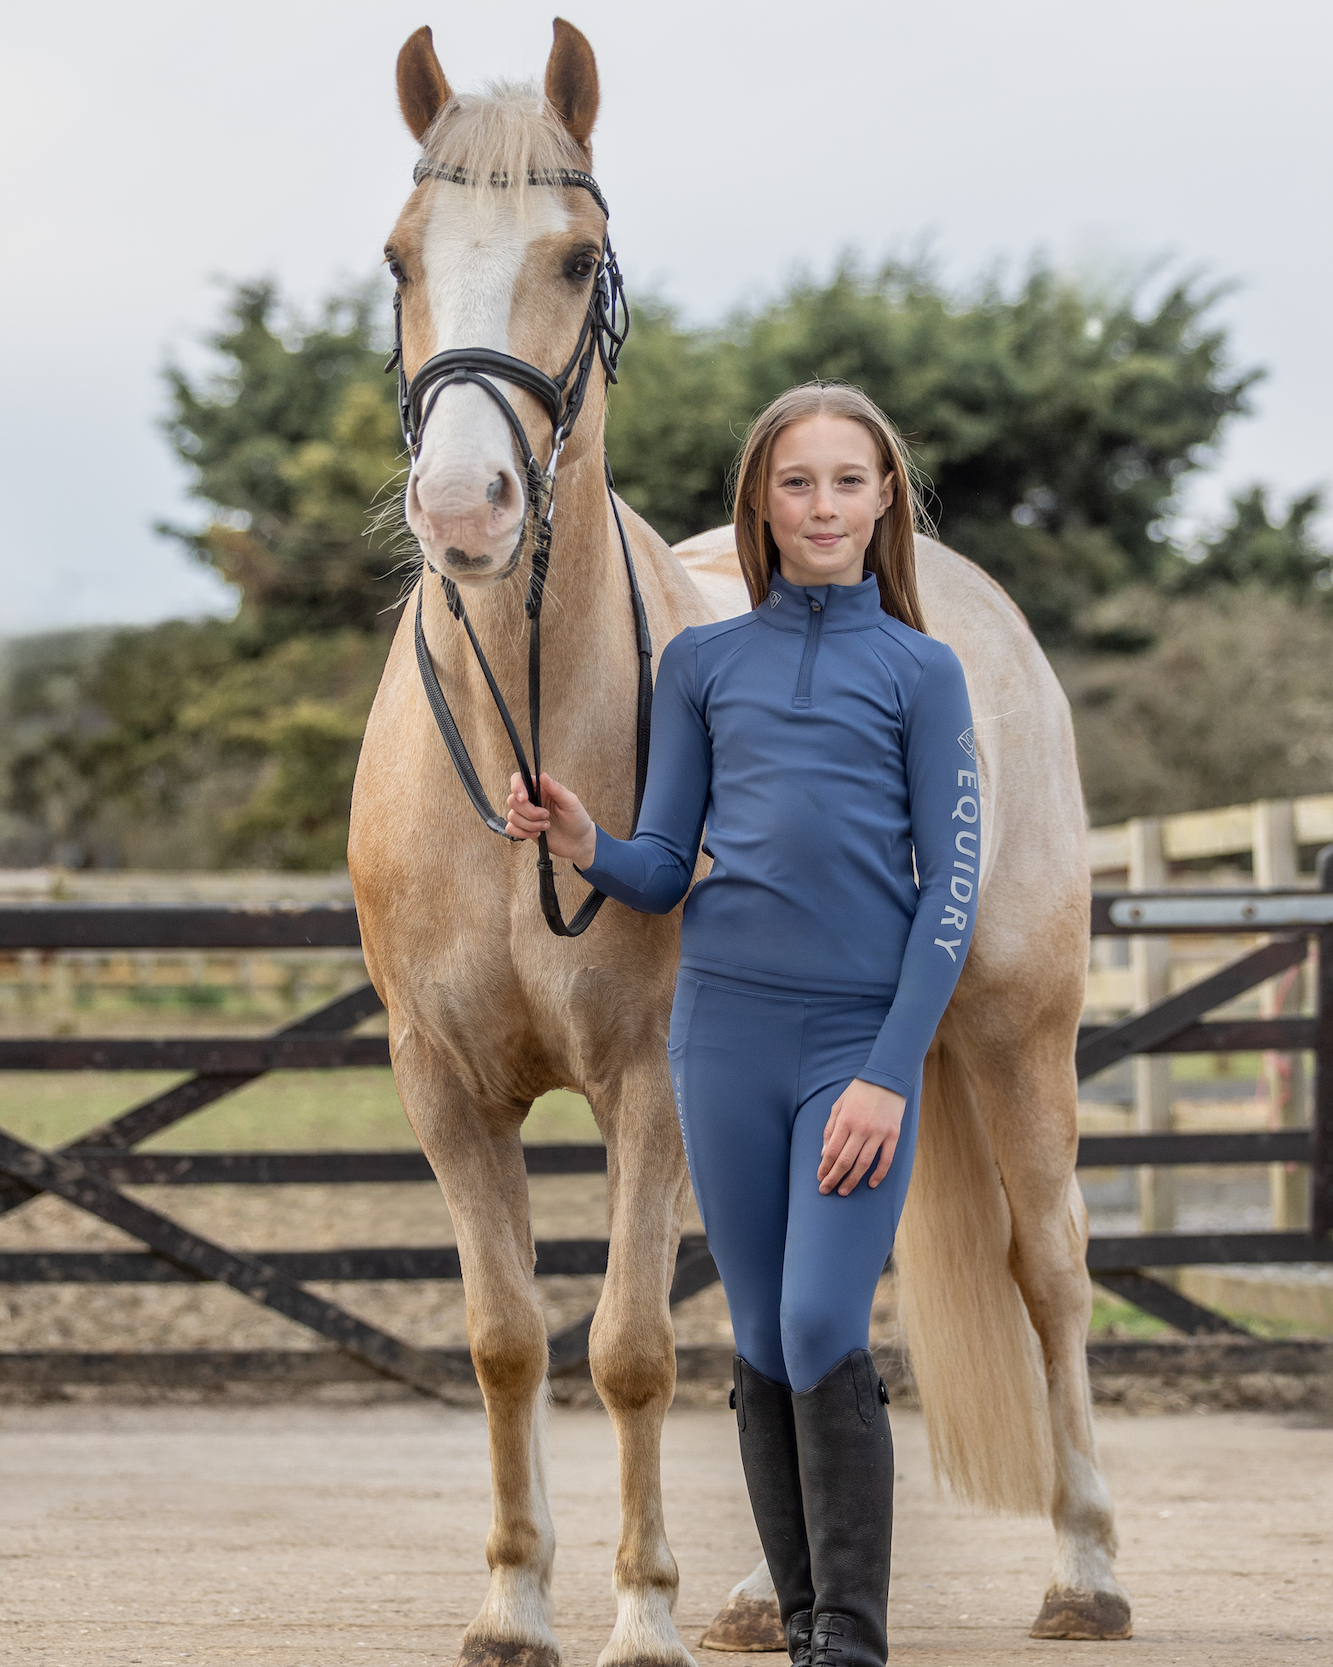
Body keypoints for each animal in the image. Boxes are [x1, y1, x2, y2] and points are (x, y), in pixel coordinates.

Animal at [347, 19, 1131, 1665]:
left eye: (578, 258)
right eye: (397, 256)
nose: (464, 509)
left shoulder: (650, 1080)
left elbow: (632, 1347)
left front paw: (636, 1613)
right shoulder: (441, 1084)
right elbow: (505, 1337)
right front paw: (513, 1601)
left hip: (1016, 1029)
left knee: (1053, 1267)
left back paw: (1086, 1567)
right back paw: (768, 1597)